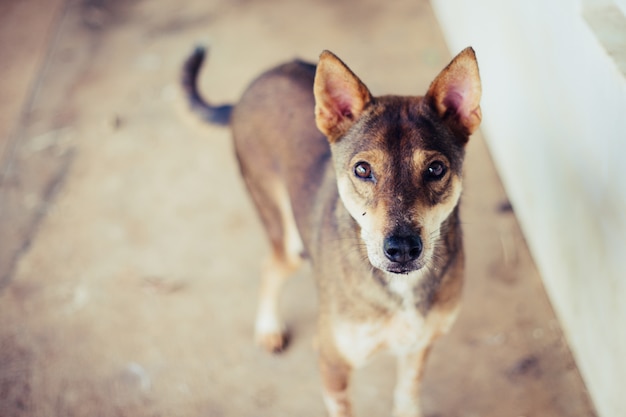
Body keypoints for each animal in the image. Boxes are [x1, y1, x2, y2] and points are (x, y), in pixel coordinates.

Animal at [182, 45, 482, 416]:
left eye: (436, 168)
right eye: (363, 169)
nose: (402, 249)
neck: (401, 290)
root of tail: (252, 86)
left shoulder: (419, 346)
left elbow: (406, 393)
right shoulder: (333, 366)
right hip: (286, 235)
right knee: (271, 267)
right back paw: (268, 328)